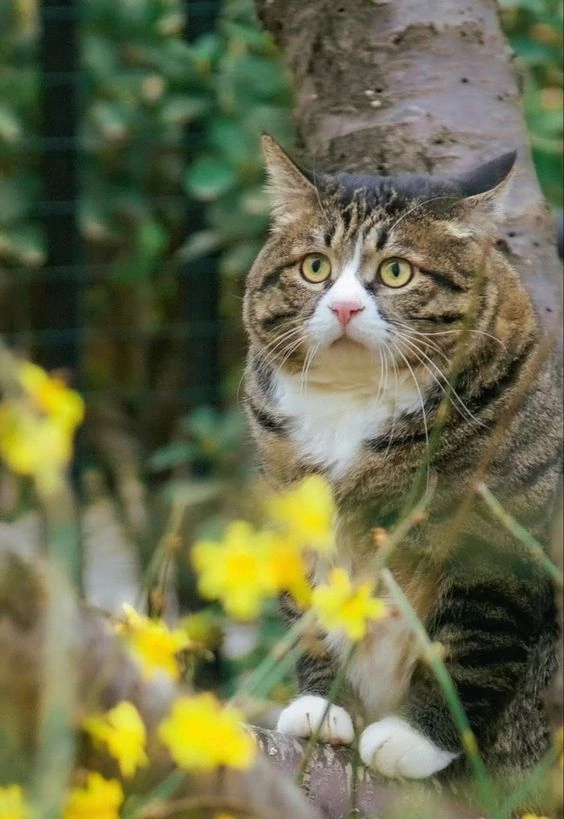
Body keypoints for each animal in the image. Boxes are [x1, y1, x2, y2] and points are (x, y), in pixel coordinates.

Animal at [241, 136, 560, 788]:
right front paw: (322, 708)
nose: (342, 308)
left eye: (395, 272)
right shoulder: (299, 513)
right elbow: (313, 618)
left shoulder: (495, 541)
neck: (354, 403)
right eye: (316, 267)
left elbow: (473, 642)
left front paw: (416, 739)